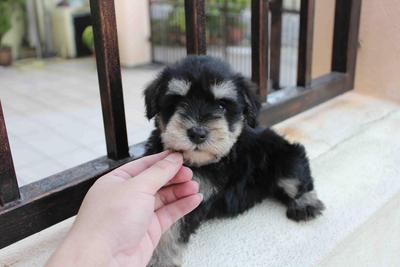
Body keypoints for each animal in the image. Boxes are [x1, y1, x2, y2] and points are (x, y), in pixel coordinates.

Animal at [144, 55, 324, 266]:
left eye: (222, 106)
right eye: (176, 103)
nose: (197, 133)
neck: (198, 163)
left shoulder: (195, 196)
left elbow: (169, 231)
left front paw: (159, 260)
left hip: (286, 158)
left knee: (297, 180)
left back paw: (306, 205)